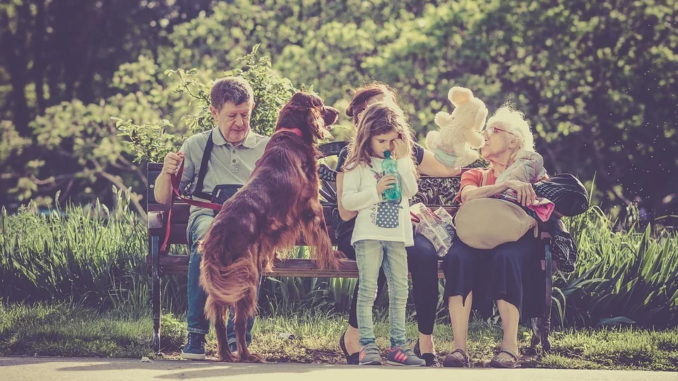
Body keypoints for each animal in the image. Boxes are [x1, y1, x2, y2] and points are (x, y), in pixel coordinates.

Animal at [199, 90, 342, 360]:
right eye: (320, 103)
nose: (338, 111)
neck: (291, 133)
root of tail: (218, 234)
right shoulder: (311, 204)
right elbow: (323, 235)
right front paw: (333, 258)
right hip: (246, 278)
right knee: (239, 321)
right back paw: (246, 355)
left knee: (220, 318)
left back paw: (226, 353)